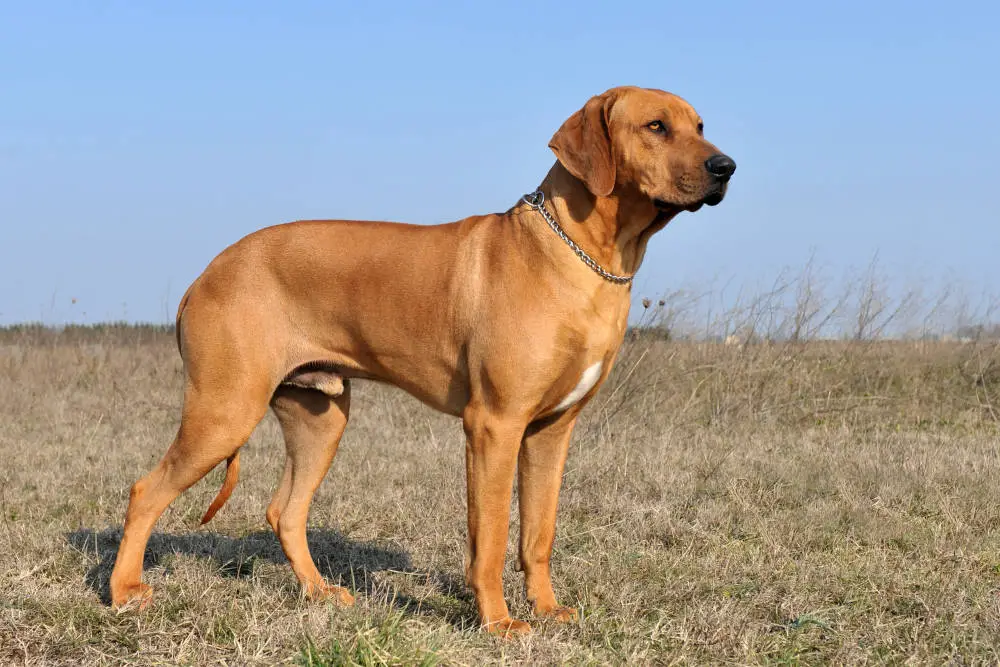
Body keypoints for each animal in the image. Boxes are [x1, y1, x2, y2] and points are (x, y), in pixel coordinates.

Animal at [107, 86, 736, 636]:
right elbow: (490, 538)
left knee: (284, 512)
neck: (583, 257)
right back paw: (123, 592)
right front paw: (499, 623)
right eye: (656, 126)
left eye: (700, 125)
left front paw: (546, 609)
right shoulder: (494, 425)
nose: (726, 167)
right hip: (224, 411)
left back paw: (319, 593)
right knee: (145, 493)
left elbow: (538, 534)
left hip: (320, 418)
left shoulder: (551, 431)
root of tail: (204, 276)